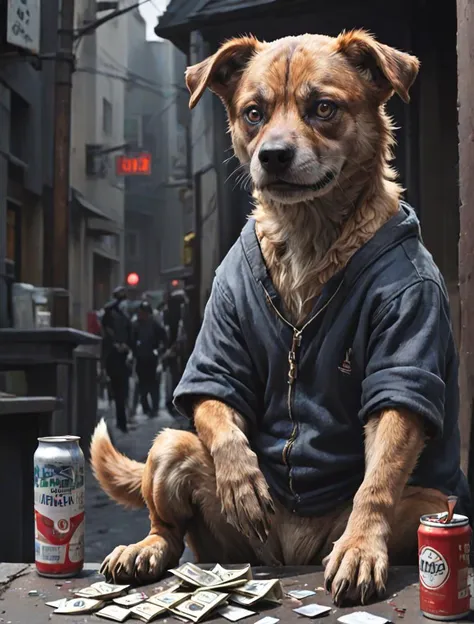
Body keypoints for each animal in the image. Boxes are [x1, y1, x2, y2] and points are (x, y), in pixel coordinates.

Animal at [90, 30, 468, 604]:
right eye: (254, 113)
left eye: (324, 108)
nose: (273, 155)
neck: (308, 239)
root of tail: (287, 555)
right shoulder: (215, 360)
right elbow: (220, 413)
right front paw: (242, 479)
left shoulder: (404, 366)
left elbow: (377, 479)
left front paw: (361, 548)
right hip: (175, 454)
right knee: (170, 527)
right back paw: (147, 547)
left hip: (429, 500)